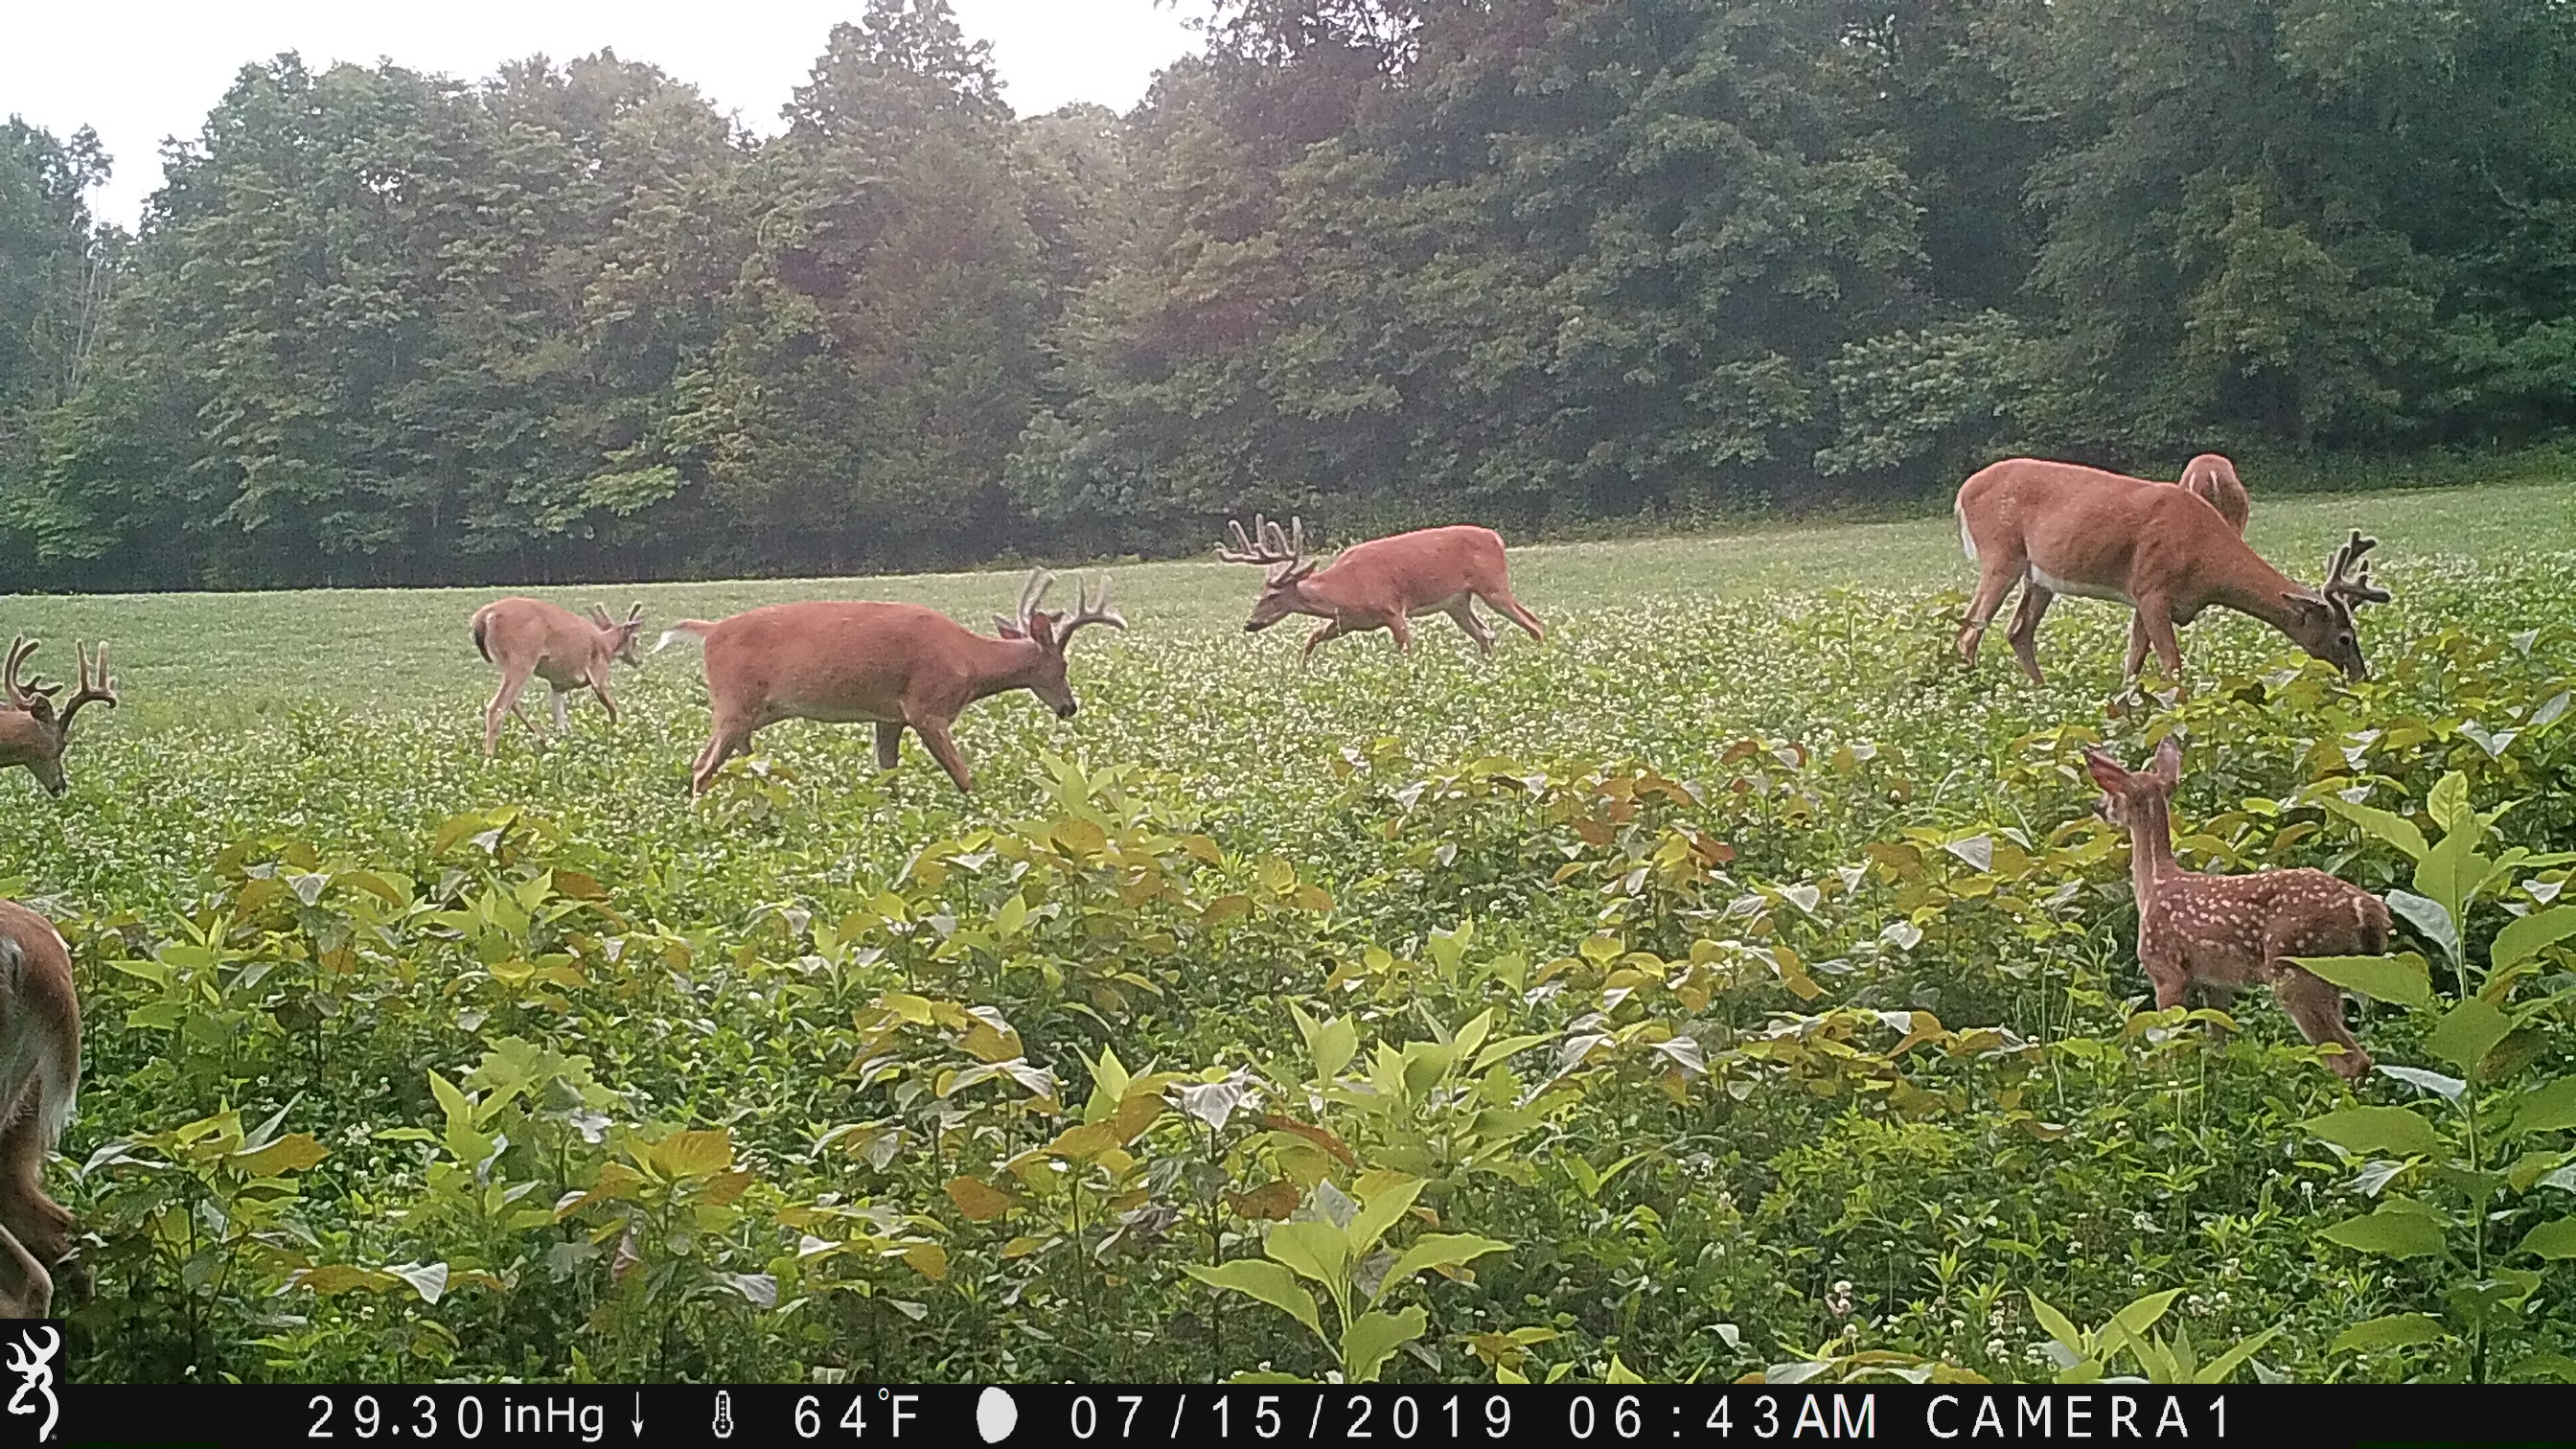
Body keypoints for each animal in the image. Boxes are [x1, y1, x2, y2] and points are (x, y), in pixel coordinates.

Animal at [469, 599, 647, 757]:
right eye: (635, 638)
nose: (638, 661)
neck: (606, 644)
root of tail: (483, 616)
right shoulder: (598, 673)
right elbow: (612, 708)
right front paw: (618, 735)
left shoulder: (558, 684)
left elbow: (560, 719)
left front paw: (565, 744)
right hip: (521, 658)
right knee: (497, 707)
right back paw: (489, 757)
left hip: (509, 663)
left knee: (511, 702)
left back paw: (545, 740)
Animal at [654, 571, 1124, 795]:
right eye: (1062, 666)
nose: (1069, 707)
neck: (969, 661)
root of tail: (710, 632)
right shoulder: (926, 707)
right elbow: (962, 775)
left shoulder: (889, 716)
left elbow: (888, 776)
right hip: (733, 702)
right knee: (701, 765)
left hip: (752, 712)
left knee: (740, 761)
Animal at [1215, 515, 1545, 663]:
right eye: (1259, 594)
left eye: (1272, 596)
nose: (1250, 623)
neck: (1344, 590)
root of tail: (1497, 538)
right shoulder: (1347, 622)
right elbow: (1311, 639)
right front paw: (1302, 670)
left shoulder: (1392, 609)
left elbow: (1406, 650)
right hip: (1457, 602)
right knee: (1485, 634)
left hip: (1493, 585)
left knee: (1533, 623)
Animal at [1954, 458, 2389, 686]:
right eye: (2345, 637)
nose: (2361, 676)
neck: (2205, 557)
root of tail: (1963, 492)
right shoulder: (2152, 587)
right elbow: (2172, 666)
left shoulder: (2143, 596)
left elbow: (2133, 663)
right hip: (2001, 553)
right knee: (1970, 627)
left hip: (2040, 575)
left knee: (2017, 630)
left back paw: (2042, 693)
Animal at [2084, 736, 2381, 1080]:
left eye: (2113, 793)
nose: (2097, 806)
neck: (2154, 883)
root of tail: (2369, 909)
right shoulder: (2215, 983)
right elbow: (2217, 1045)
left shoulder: (2166, 970)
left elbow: (2169, 1044)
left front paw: (2168, 1082)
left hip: (2297, 965)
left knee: (2350, 1059)